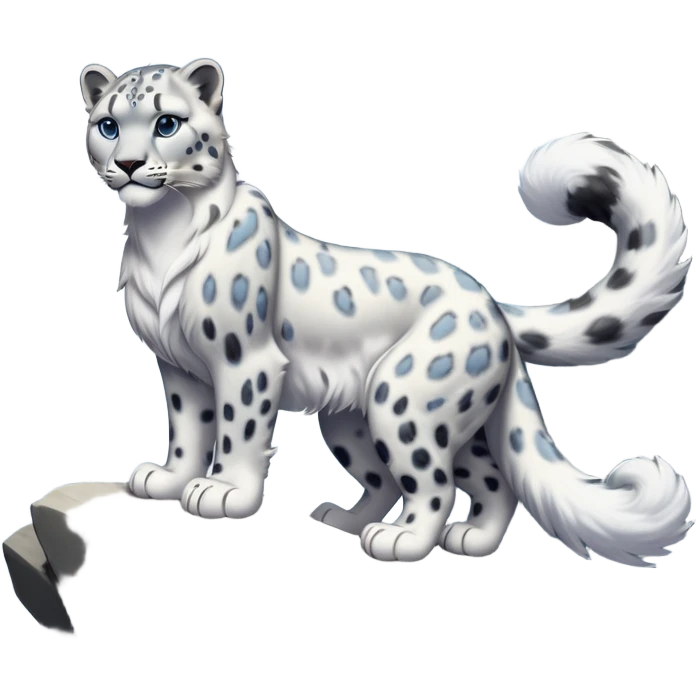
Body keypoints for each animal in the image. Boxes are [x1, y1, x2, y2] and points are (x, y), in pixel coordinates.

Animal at [80, 57, 693, 565]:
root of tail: (487, 299)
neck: (159, 236)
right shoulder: (179, 366)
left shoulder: (242, 360)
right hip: (363, 418)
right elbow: (187, 427)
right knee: (463, 480)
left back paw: (403, 541)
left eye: (167, 123)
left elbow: (237, 428)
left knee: (436, 483)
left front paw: (224, 491)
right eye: (108, 125)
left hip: (405, 401)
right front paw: (168, 478)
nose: (128, 164)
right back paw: (399, 528)